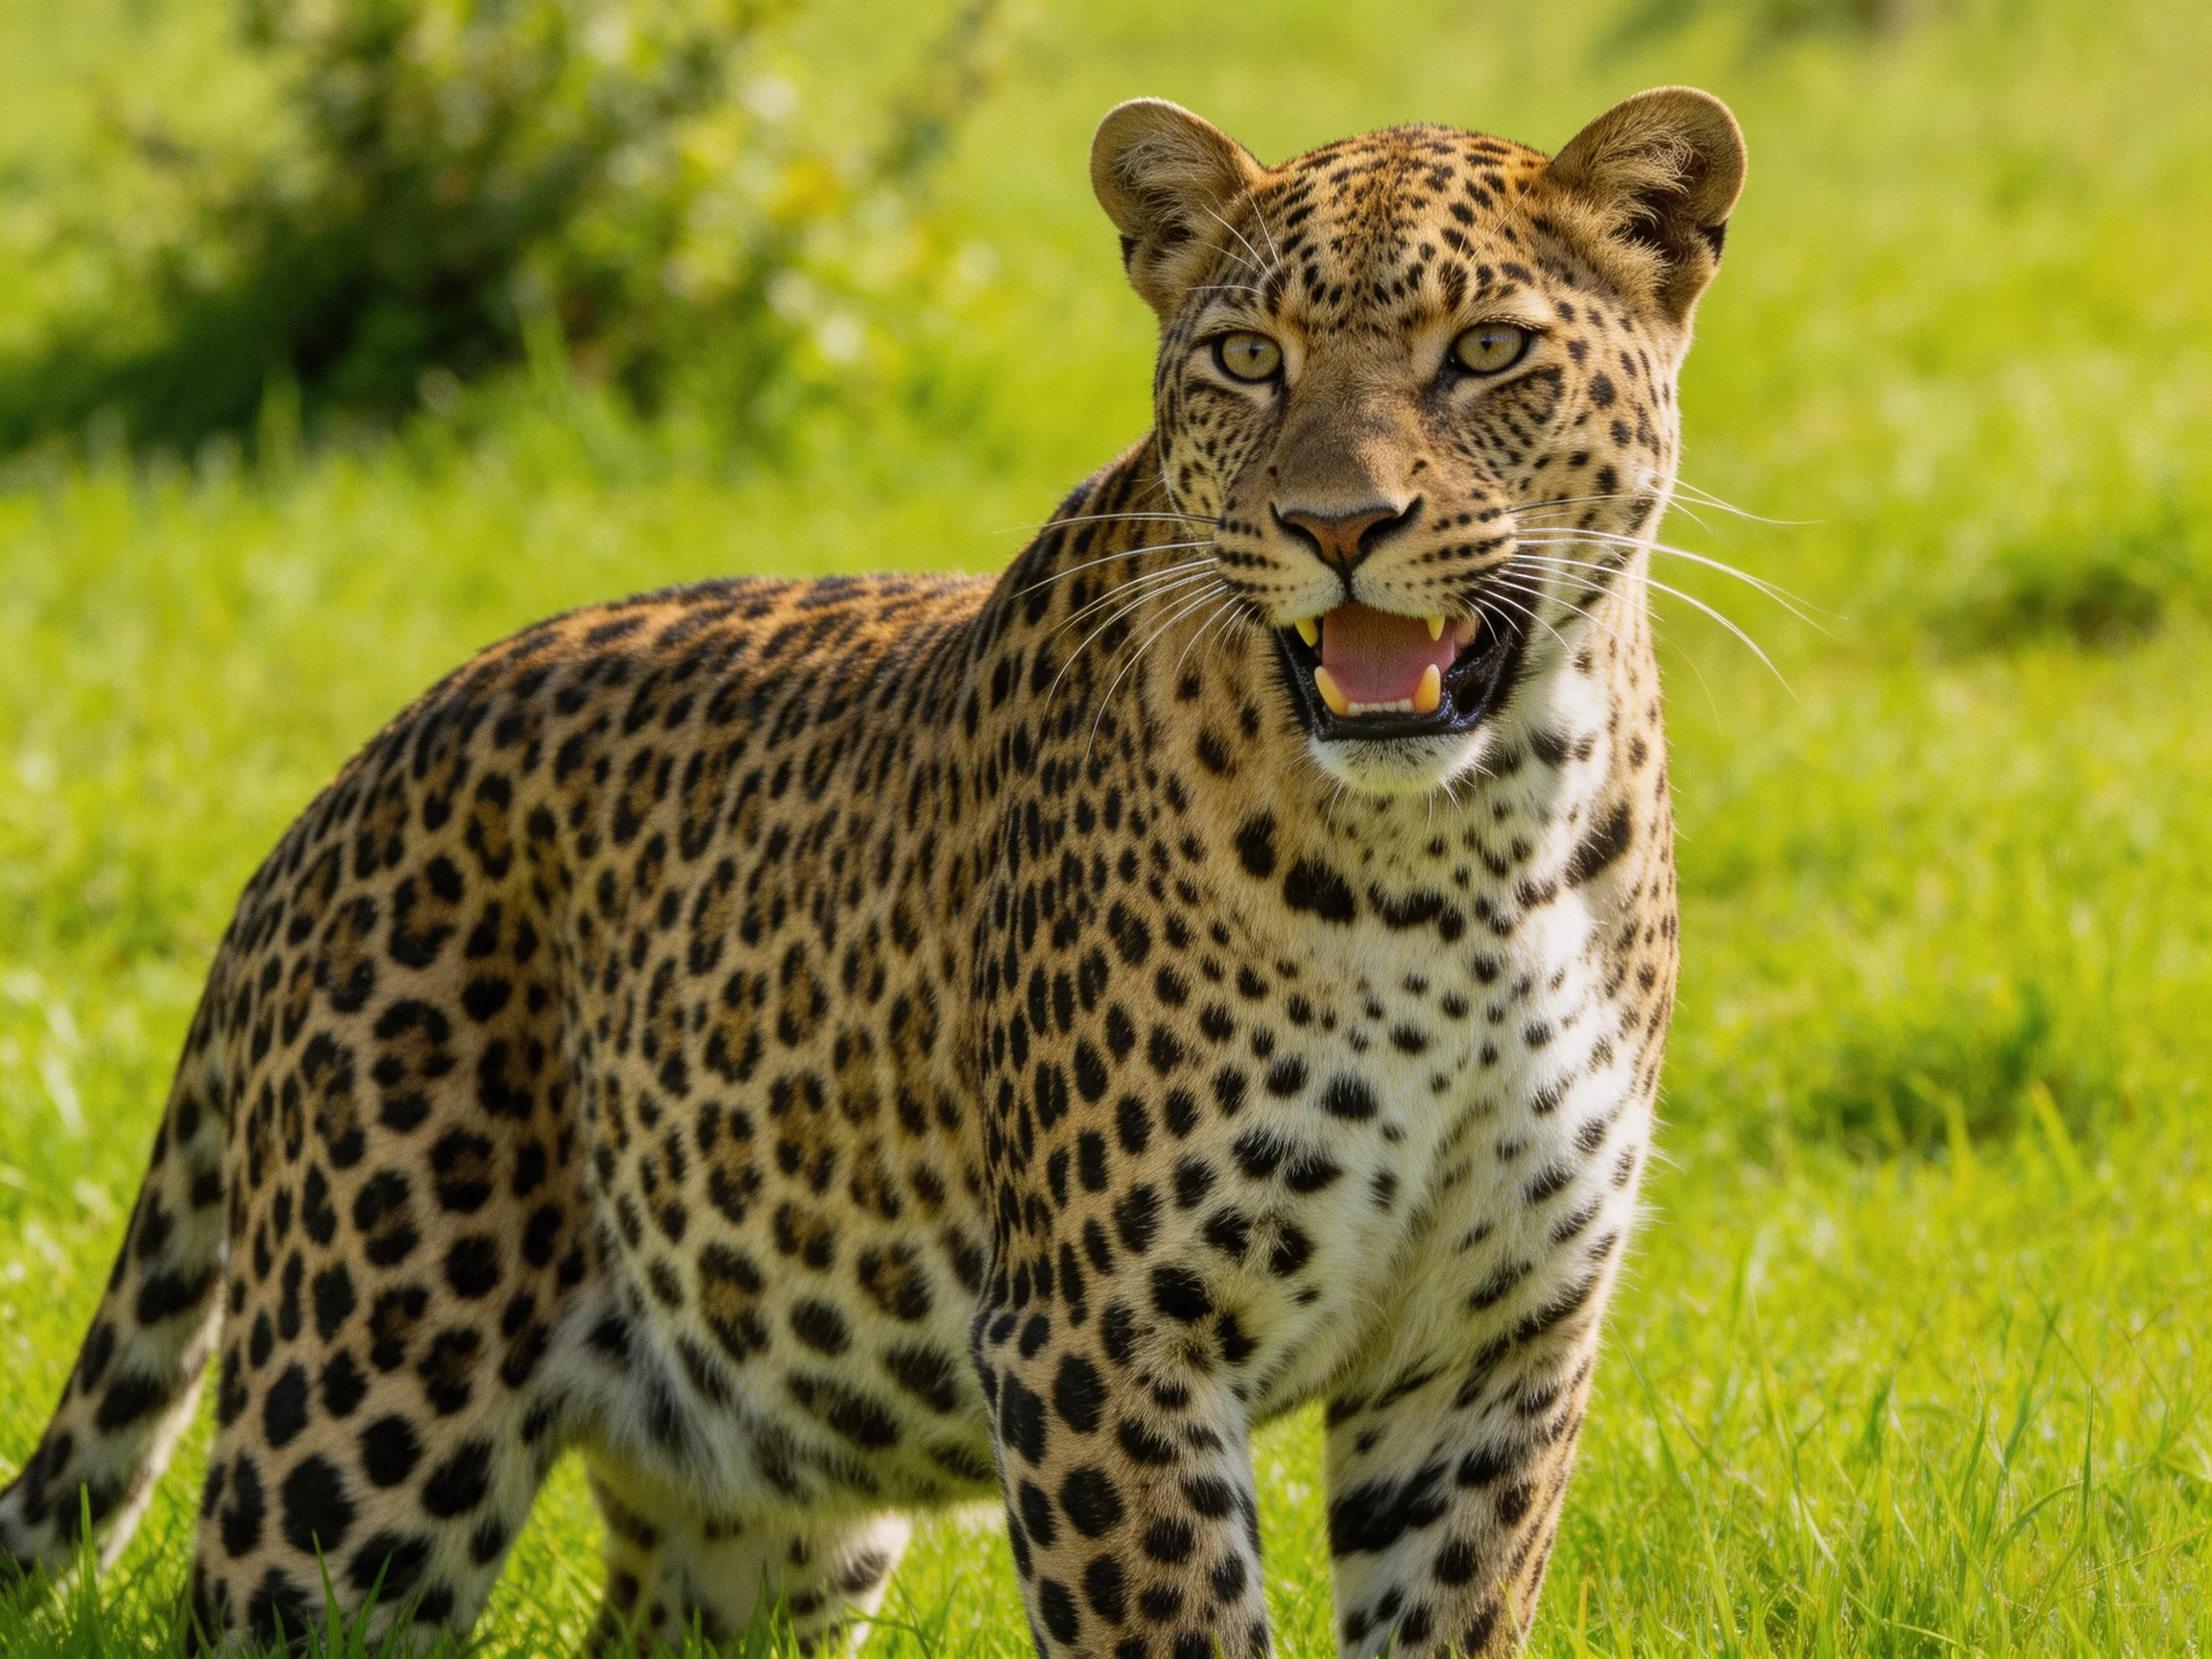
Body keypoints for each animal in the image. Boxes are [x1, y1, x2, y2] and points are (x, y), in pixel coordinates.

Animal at [0, 85, 1745, 1658]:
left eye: (1487, 352)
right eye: (1249, 358)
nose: (1335, 524)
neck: (1466, 858)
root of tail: (319, 809)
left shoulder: (1488, 1351)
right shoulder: (1103, 1340)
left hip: (760, 1483)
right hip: (359, 1430)